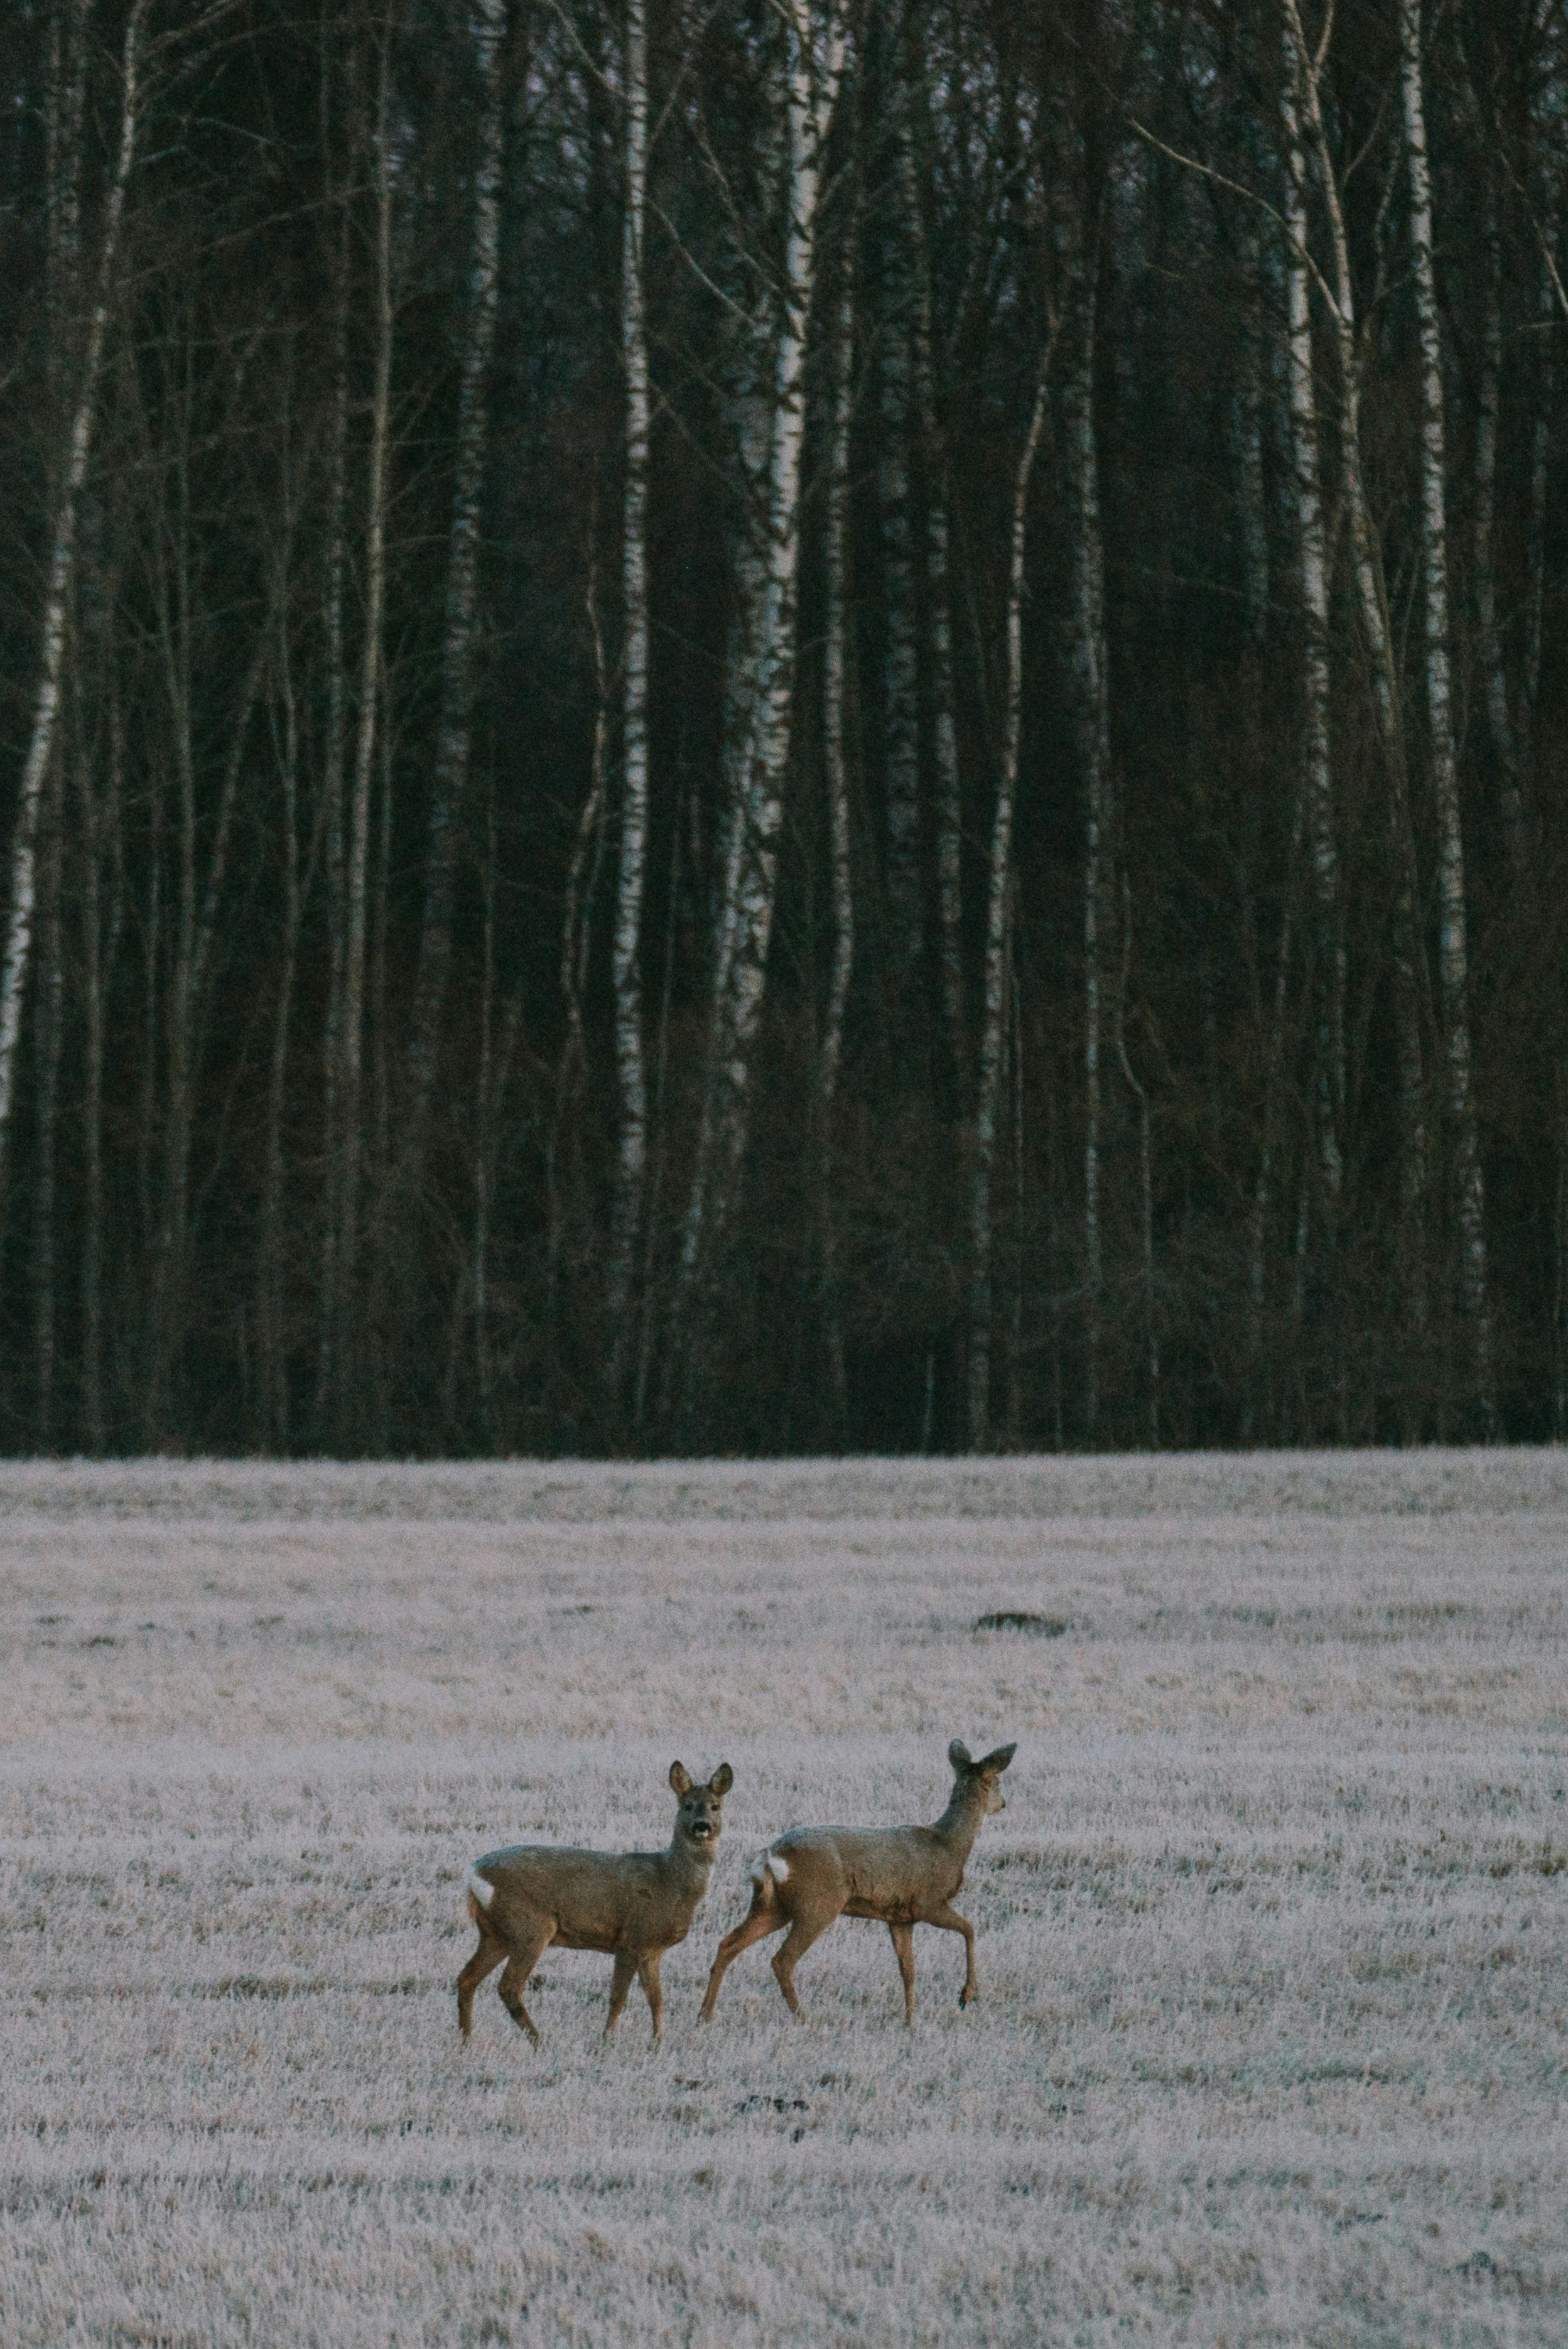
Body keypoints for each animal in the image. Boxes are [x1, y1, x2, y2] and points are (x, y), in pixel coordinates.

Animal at [458, 1761, 732, 2046]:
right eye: (687, 1805)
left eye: (715, 1806)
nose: (702, 1826)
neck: (669, 1883)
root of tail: (473, 1873)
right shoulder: (631, 1939)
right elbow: (618, 1999)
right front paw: (606, 2042)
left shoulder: (651, 1950)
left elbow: (657, 2000)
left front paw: (658, 2043)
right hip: (530, 1928)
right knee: (508, 1987)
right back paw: (540, 2042)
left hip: (496, 1933)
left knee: (467, 1978)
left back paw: (466, 2040)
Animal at [699, 1738, 1016, 2026]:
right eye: (998, 1782)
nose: (1004, 1803)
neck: (951, 1845)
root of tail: (769, 1856)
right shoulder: (929, 1902)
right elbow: (970, 1930)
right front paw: (967, 1995)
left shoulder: (900, 1918)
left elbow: (908, 1970)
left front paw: (910, 2022)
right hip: (818, 1906)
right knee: (782, 1959)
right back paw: (805, 2018)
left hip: (772, 1906)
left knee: (728, 1944)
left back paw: (706, 2015)